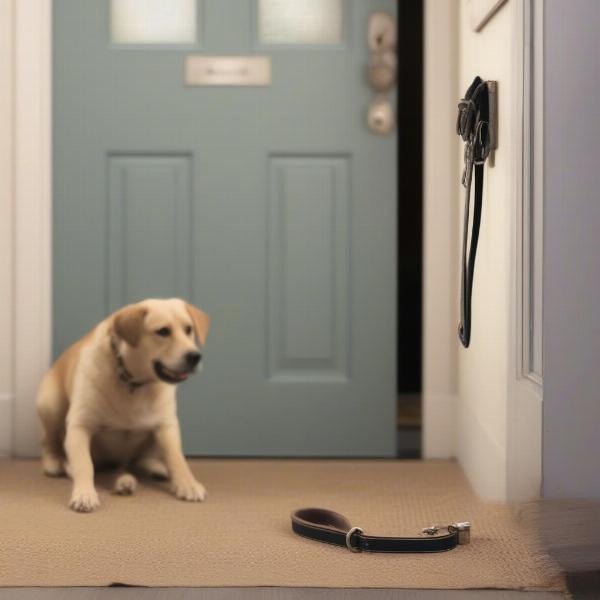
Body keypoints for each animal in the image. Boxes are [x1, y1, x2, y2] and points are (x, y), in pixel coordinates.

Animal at [35, 298, 210, 512]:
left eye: (189, 330)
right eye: (163, 331)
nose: (194, 356)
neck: (132, 382)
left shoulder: (166, 425)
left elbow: (177, 458)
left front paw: (188, 484)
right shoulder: (80, 426)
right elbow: (84, 465)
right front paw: (84, 493)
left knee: (137, 461)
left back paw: (149, 470)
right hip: (51, 404)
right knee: (50, 442)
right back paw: (55, 463)